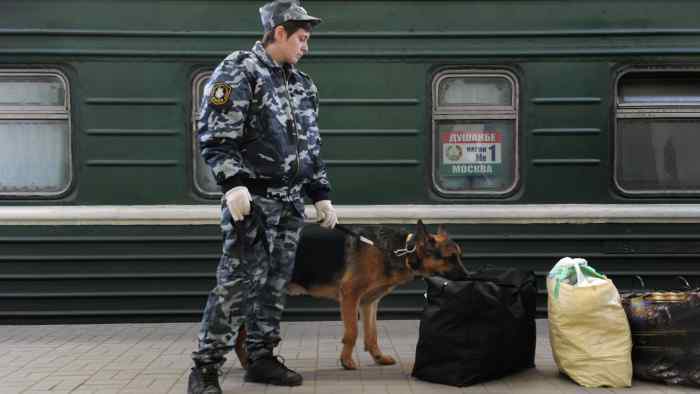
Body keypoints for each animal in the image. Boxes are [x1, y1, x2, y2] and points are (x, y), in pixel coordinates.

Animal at [234, 220, 464, 370]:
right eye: (450, 258)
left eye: (459, 256)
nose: (468, 275)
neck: (400, 250)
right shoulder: (350, 297)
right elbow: (352, 332)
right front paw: (346, 361)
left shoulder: (369, 303)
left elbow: (372, 334)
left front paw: (378, 357)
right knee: (239, 336)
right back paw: (249, 364)